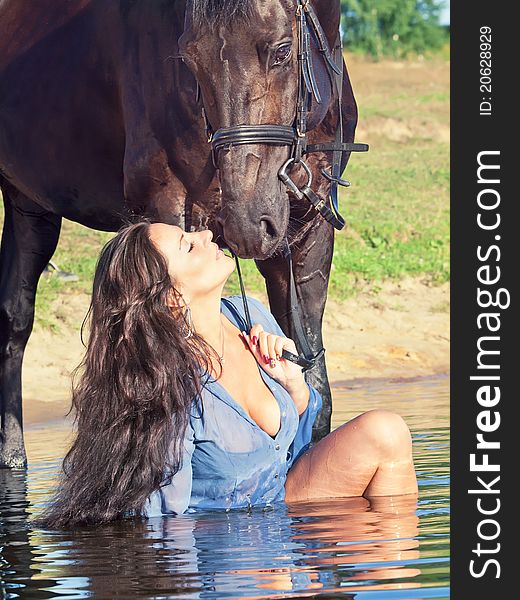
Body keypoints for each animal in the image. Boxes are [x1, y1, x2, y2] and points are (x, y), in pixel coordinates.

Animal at [1, 0, 366, 468]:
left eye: (283, 50)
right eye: (190, 60)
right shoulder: (166, 211)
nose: (247, 223)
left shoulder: (307, 234)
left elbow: (313, 387)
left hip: (29, 206)